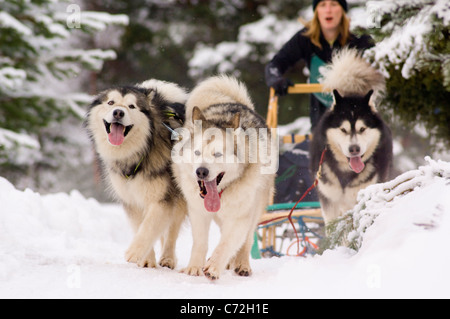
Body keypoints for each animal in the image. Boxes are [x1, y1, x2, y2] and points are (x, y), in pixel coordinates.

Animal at [85, 79, 188, 268]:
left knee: (171, 231)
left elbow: (149, 227)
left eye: (131, 106)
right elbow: (141, 226)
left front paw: (134, 252)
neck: (138, 154)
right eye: (111, 102)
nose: (118, 112)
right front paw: (146, 259)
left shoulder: (162, 199)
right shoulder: (131, 200)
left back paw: (168, 258)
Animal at [172, 75, 276, 280]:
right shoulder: (198, 213)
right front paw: (194, 268)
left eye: (218, 154)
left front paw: (214, 267)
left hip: (254, 209)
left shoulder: (239, 218)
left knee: (246, 240)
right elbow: (200, 243)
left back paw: (241, 264)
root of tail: (237, 104)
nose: (201, 172)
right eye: (197, 152)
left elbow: (227, 244)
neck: (221, 193)